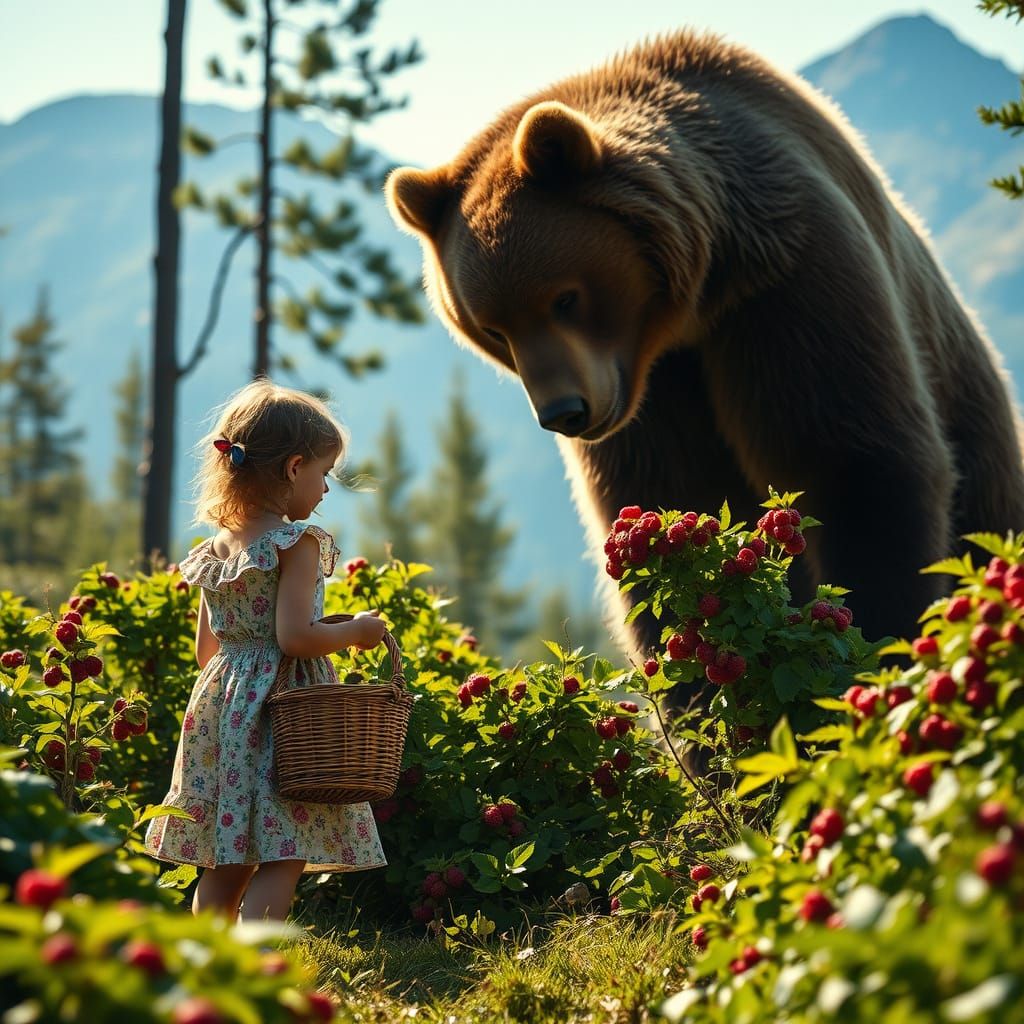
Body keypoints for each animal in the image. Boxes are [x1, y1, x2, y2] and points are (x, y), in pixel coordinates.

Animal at [385, 28, 1024, 654]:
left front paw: (873, 629)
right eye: (492, 327)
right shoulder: (651, 392)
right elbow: (665, 497)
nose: (565, 412)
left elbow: (854, 459)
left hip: (975, 425)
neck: (686, 312)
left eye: (563, 298)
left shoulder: (788, 284)